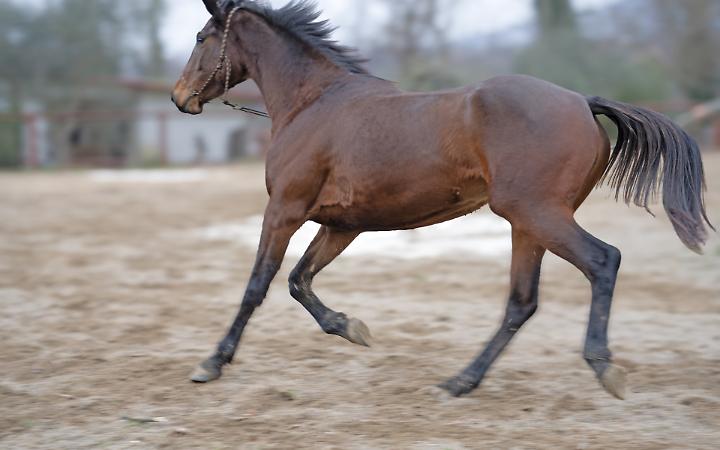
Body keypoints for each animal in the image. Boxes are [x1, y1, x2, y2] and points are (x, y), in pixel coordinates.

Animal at [171, 0, 713, 399]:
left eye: (200, 37)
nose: (179, 97)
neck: (314, 103)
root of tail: (583, 102)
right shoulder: (343, 224)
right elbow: (299, 281)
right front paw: (351, 327)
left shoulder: (284, 209)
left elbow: (258, 284)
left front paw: (212, 362)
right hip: (528, 224)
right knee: (521, 302)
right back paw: (462, 380)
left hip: (536, 214)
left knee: (603, 261)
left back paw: (603, 367)